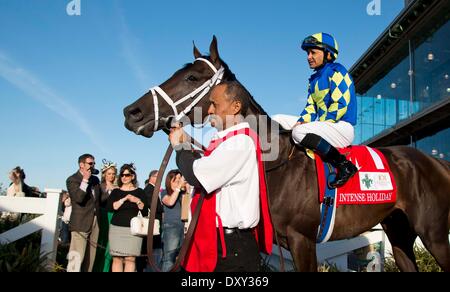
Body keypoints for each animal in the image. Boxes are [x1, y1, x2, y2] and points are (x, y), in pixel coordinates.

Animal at [123, 36, 450, 272]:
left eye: (191, 77)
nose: (132, 112)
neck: (276, 163)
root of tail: (437, 161)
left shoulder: (302, 241)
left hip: (433, 234)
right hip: (399, 233)